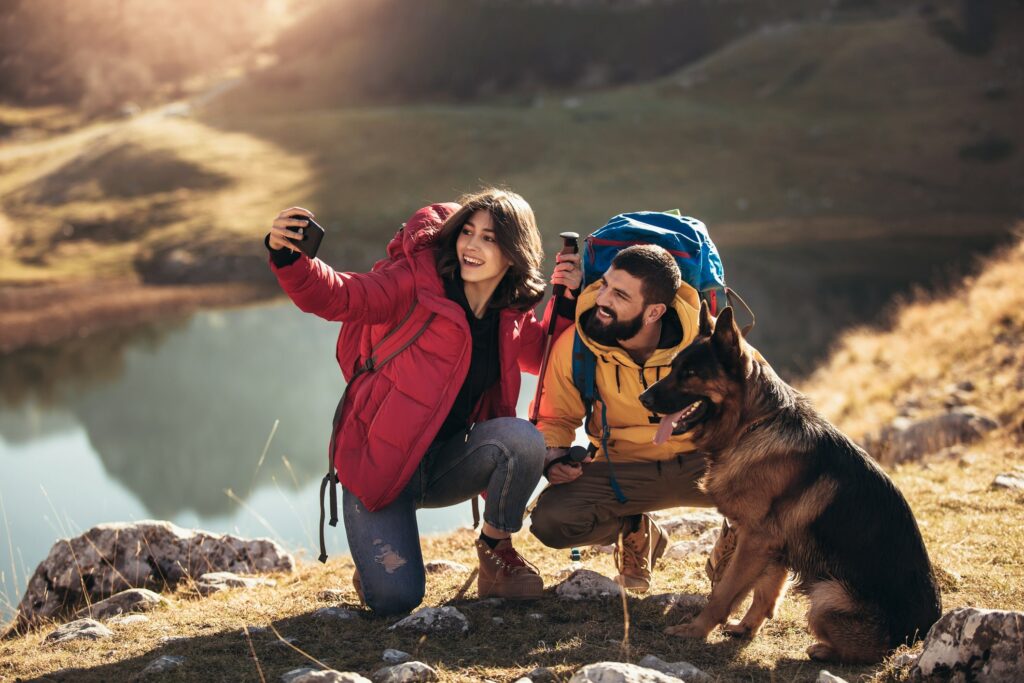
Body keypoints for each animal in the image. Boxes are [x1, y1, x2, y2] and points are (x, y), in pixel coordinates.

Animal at [638, 303, 942, 663]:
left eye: (690, 373)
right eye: (673, 368)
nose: (643, 398)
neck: (753, 425)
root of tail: (922, 632)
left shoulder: (756, 539)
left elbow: (725, 592)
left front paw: (695, 630)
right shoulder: (774, 545)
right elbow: (765, 592)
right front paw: (746, 629)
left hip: (826, 594)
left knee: (871, 651)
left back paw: (824, 649)